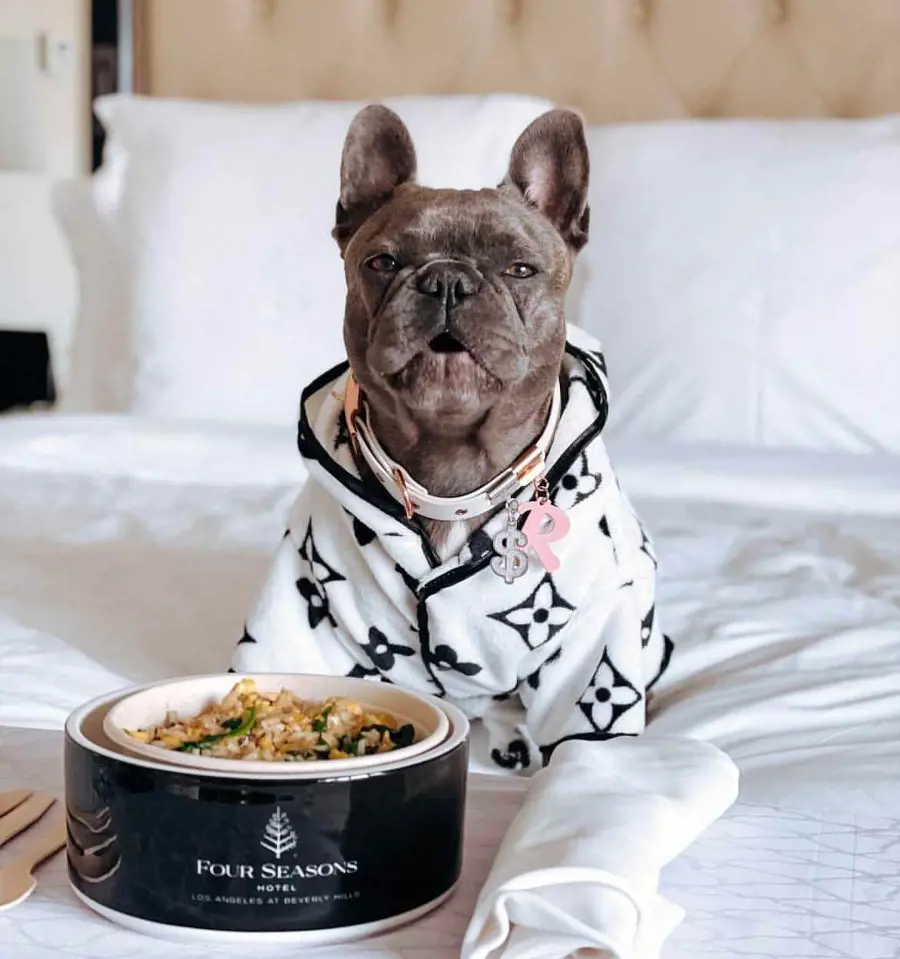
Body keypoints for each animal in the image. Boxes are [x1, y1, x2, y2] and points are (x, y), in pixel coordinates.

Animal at [232, 107, 668, 772]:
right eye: (383, 263)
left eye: (520, 269)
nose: (446, 282)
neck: (450, 464)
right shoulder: (310, 611)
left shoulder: (594, 644)